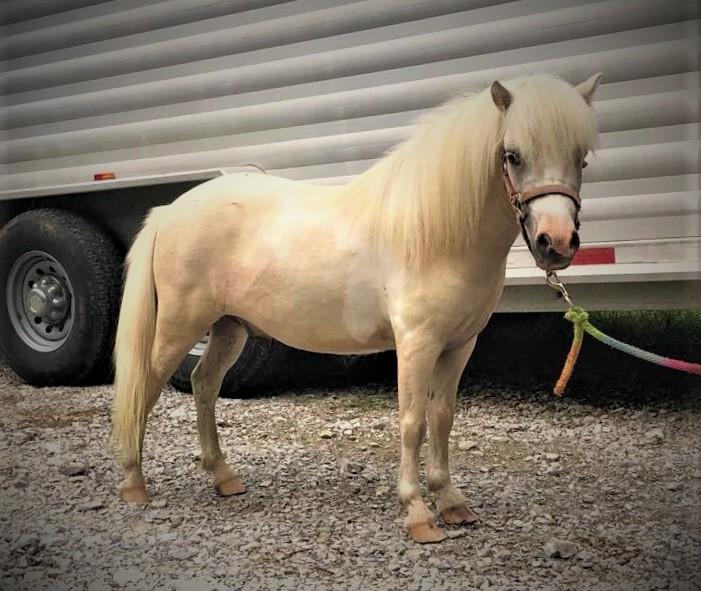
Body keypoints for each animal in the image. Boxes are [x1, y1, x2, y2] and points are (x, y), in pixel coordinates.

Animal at [112, 73, 602, 543]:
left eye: (582, 158)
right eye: (513, 155)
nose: (557, 243)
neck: (435, 234)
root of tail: (170, 210)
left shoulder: (459, 345)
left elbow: (442, 418)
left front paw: (451, 502)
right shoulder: (417, 344)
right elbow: (412, 422)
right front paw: (418, 514)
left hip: (230, 328)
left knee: (204, 384)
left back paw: (223, 476)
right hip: (179, 325)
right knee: (146, 387)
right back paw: (134, 484)